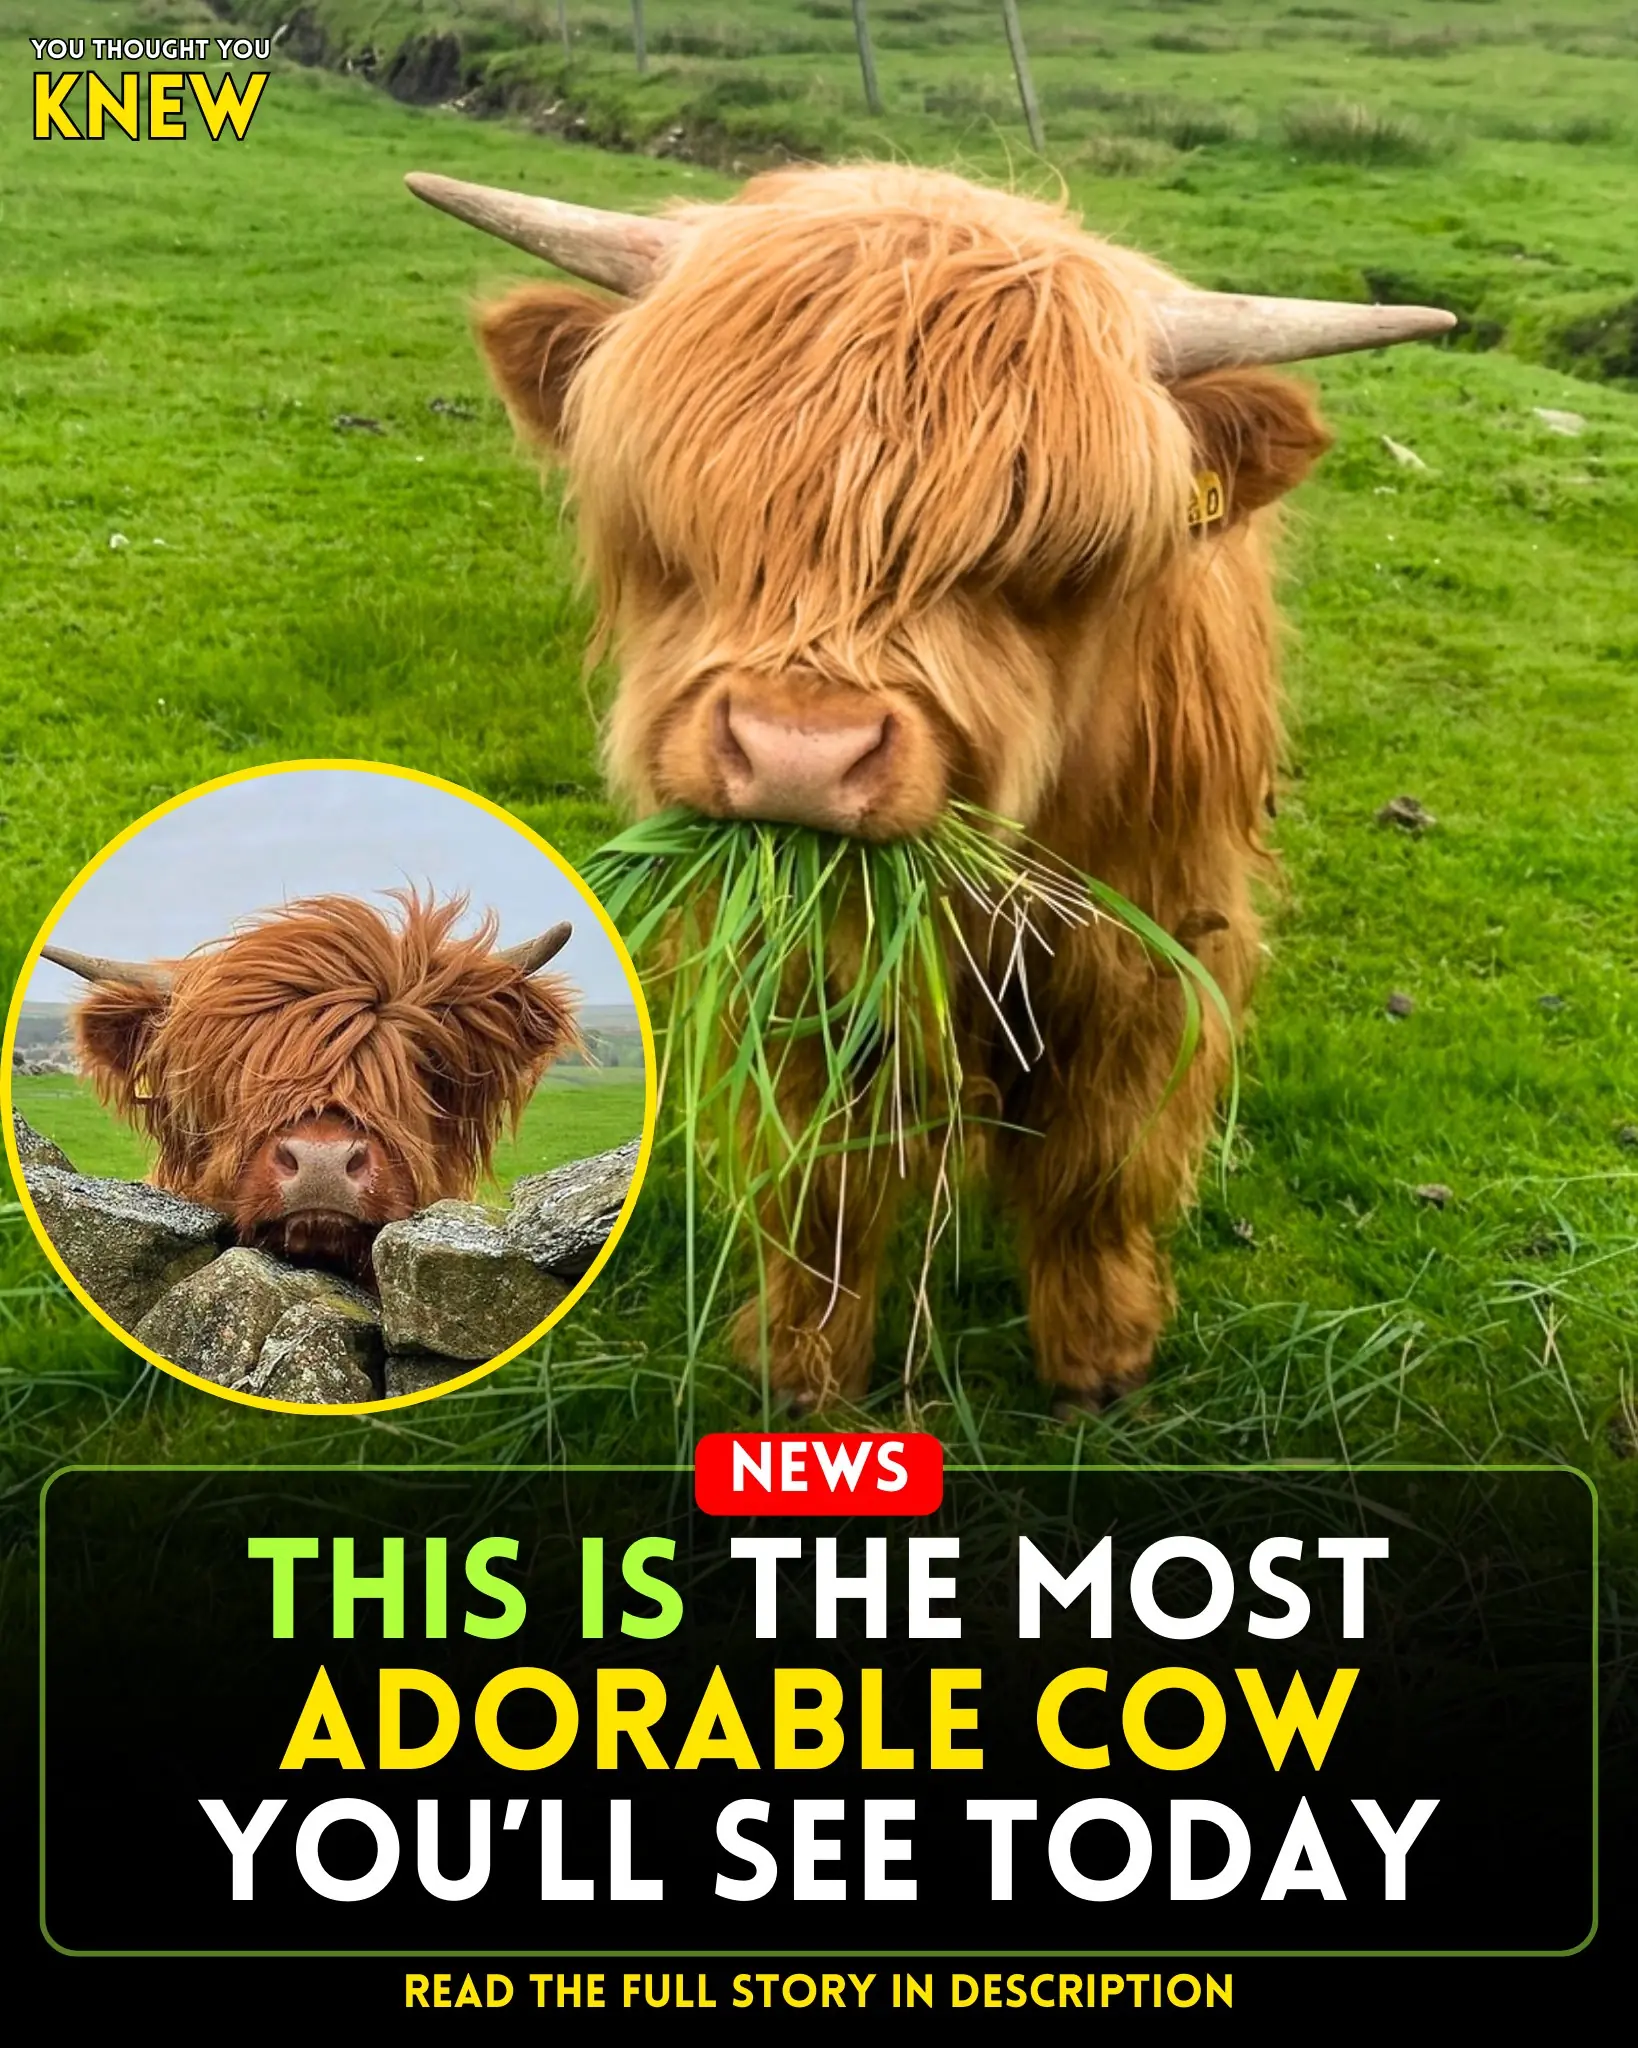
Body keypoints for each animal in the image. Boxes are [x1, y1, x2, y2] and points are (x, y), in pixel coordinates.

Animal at [405, 162, 1452, 1414]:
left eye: (1049, 559)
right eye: (684, 523)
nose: (800, 753)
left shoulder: (1147, 943)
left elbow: (1101, 1156)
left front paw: (1099, 1357)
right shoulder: (793, 959)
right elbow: (822, 1176)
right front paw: (801, 1363)